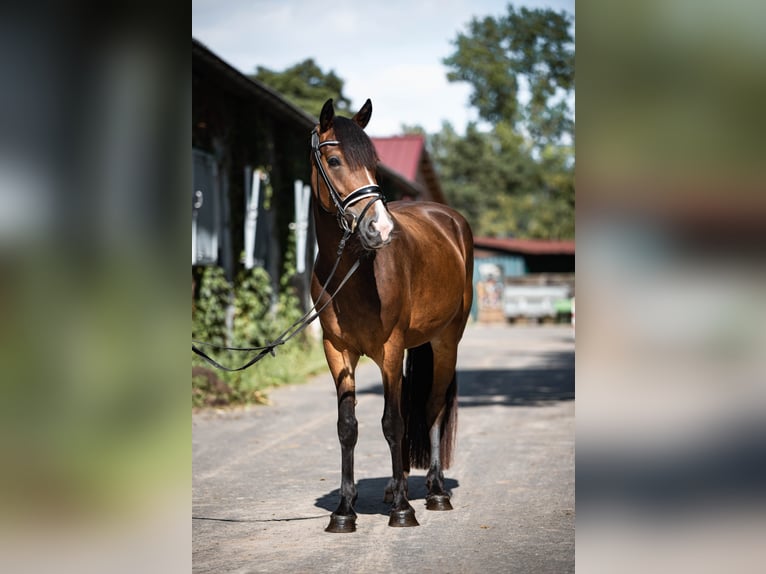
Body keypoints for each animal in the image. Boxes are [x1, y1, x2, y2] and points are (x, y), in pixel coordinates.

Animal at [312, 99, 474, 536]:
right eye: (334, 160)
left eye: (374, 164)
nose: (379, 228)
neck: (354, 271)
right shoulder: (337, 351)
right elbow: (348, 426)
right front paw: (344, 510)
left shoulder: (389, 348)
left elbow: (394, 422)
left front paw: (404, 510)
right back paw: (393, 485)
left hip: (445, 342)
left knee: (432, 408)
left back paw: (435, 491)